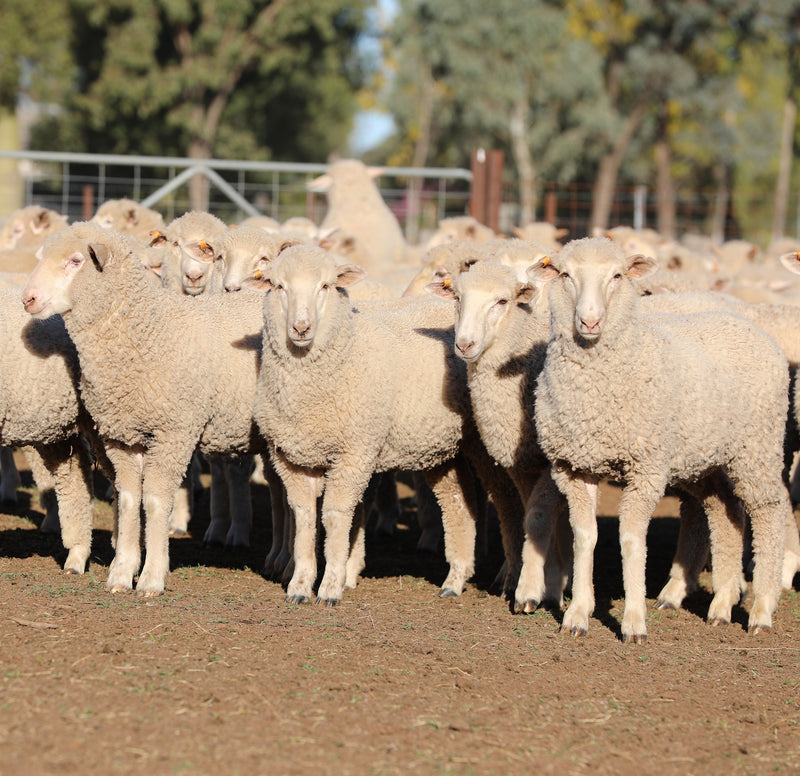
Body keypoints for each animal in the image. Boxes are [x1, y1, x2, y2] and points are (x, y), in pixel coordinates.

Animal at [22, 222, 271, 597]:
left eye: (76, 261)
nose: (28, 298)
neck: (145, 331)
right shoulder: (122, 437)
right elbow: (127, 499)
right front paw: (122, 573)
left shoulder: (174, 432)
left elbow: (154, 501)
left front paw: (152, 577)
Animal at [252, 245, 524, 605]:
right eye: (278, 286)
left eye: (325, 286)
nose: (301, 328)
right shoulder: (290, 456)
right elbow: (304, 516)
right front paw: (300, 585)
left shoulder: (354, 451)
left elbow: (335, 515)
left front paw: (330, 586)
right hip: (442, 447)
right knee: (456, 503)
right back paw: (455, 578)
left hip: (484, 442)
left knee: (507, 503)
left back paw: (510, 578)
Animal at [528, 236, 791, 643]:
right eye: (566, 275)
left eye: (617, 276)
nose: (590, 321)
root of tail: (749, 324)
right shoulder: (573, 467)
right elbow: (584, 537)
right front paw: (577, 614)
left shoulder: (646, 469)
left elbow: (631, 541)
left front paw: (634, 622)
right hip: (710, 459)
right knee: (726, 514)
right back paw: (721, 606)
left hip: (758, 447)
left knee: (769, 515)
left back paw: (762, 608)